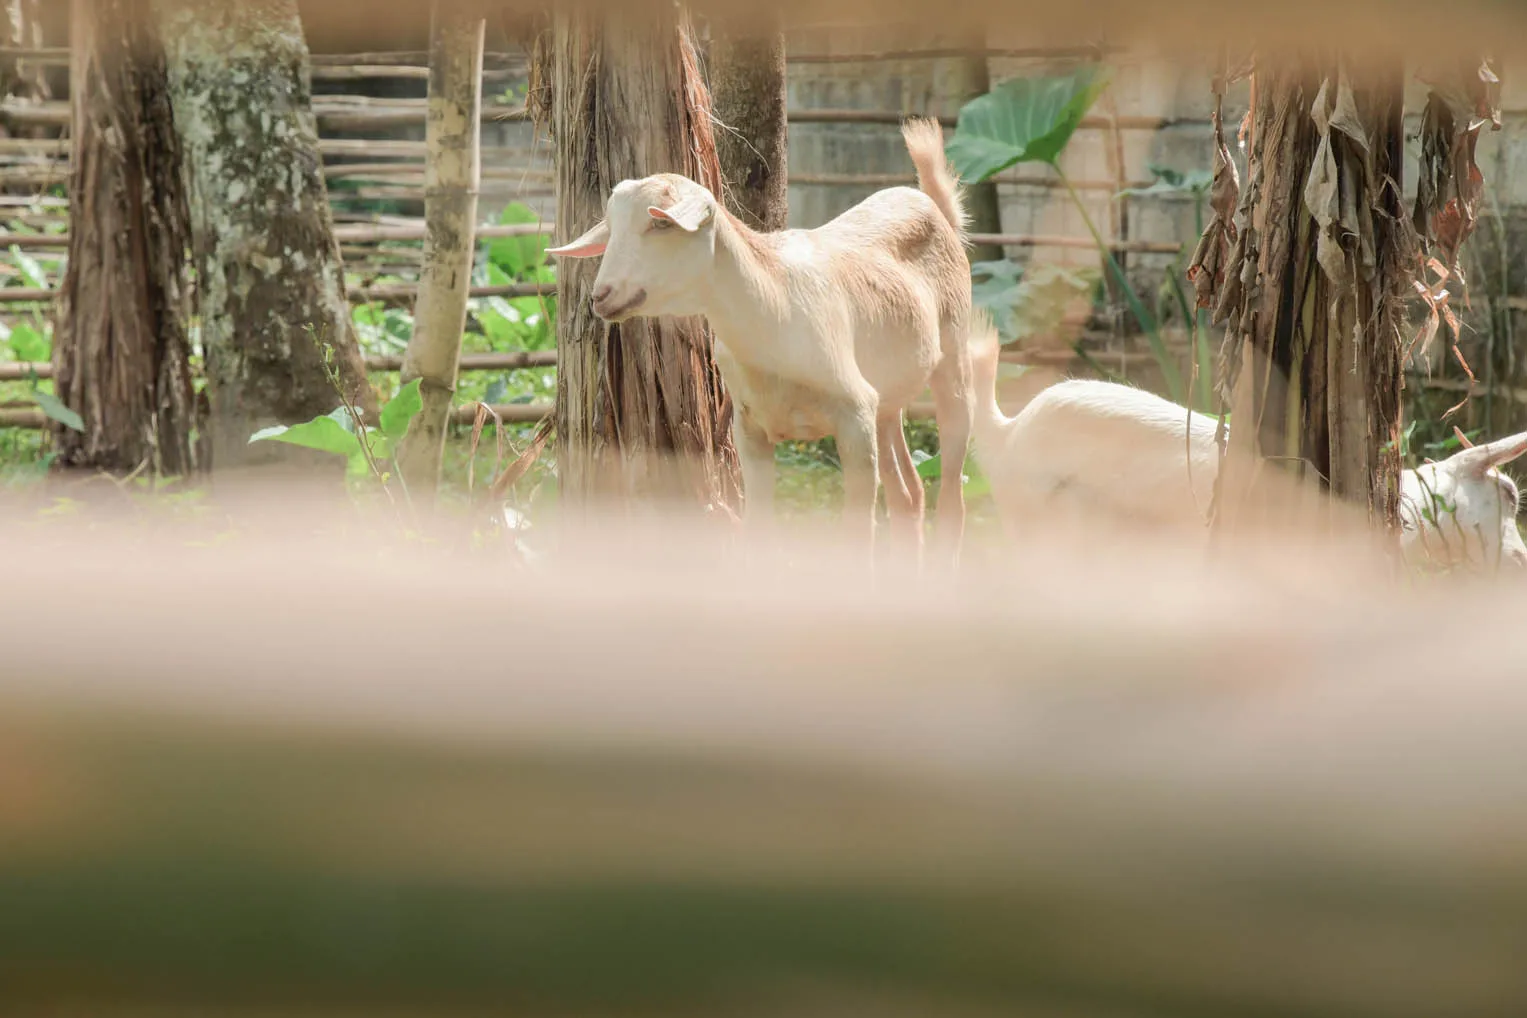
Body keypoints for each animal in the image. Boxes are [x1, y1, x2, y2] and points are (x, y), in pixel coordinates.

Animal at [552, 123, 977, 564]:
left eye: (660, 224)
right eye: (611, 228)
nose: (601, 296)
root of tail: (931, 205)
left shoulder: (855, 418)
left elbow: (858, 537)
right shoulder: (750, 428)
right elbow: (759, 532)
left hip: (954, 361)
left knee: (951, 494)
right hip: (887, 401)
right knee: (909, 495)